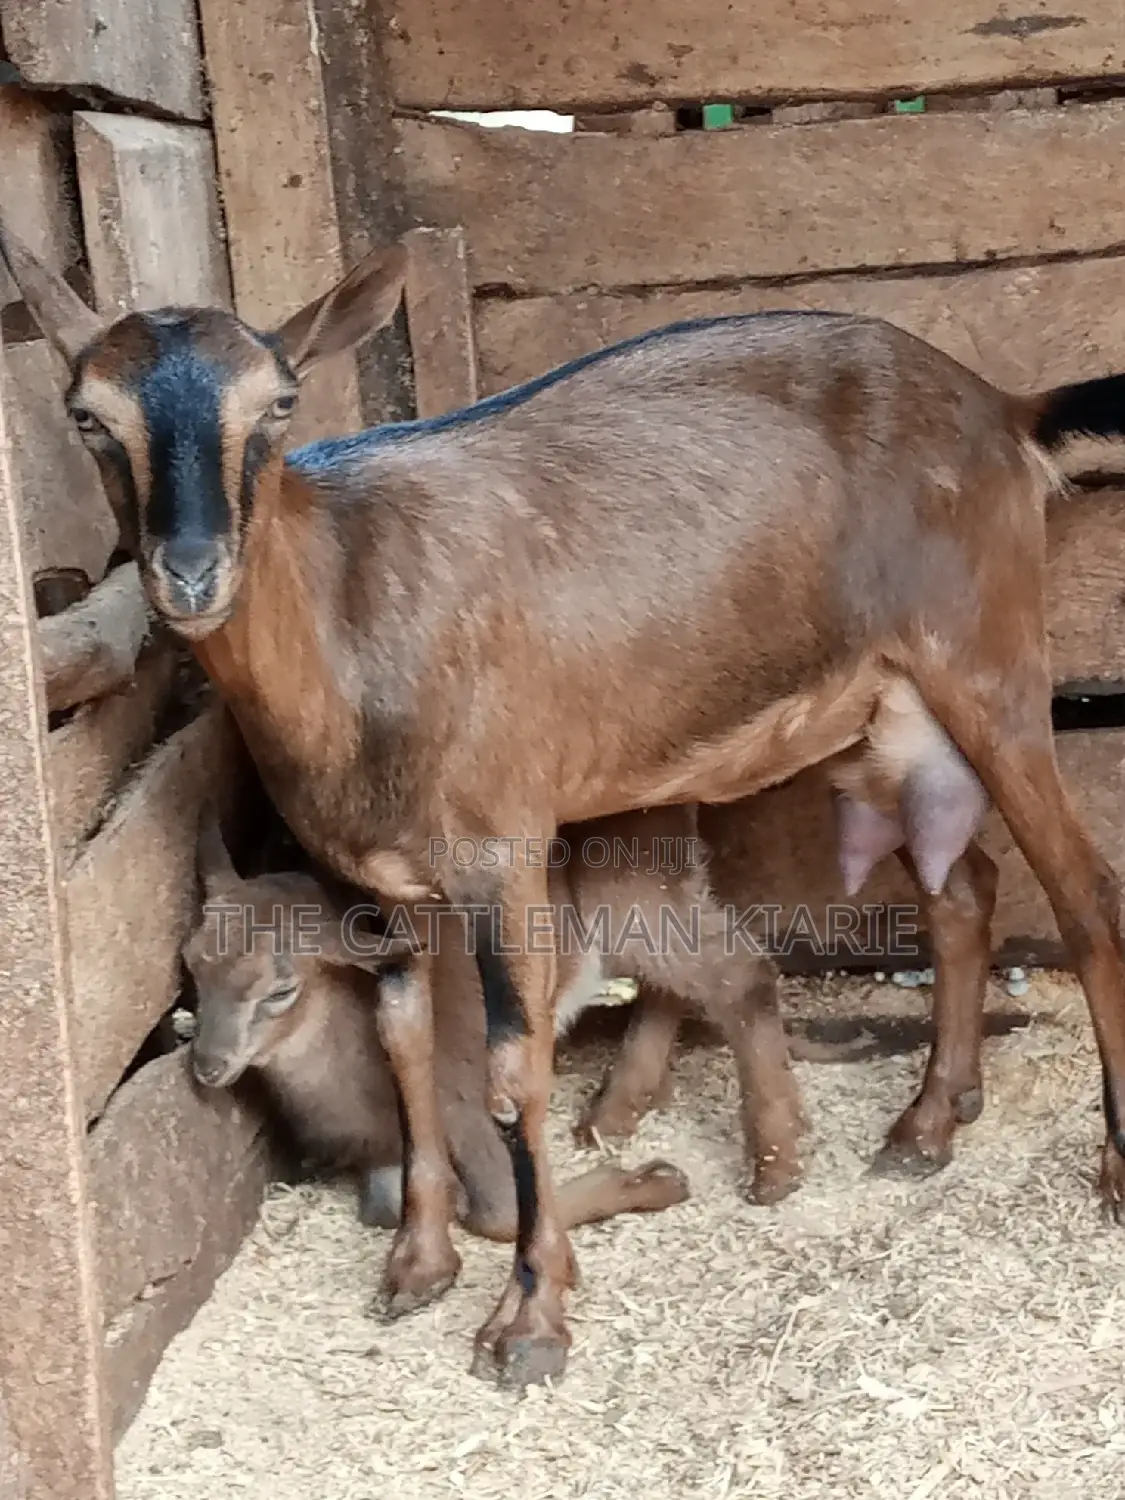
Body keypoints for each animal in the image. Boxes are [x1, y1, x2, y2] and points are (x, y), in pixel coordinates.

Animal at [7, 222, 1125, 1393]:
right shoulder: (380, 880)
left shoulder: (504, 850)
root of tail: (1001, 407)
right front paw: (418, 1264)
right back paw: (927, 1122)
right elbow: (405, 1043)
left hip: (988, 663)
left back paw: (1106, 1165)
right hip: (886, 719)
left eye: (277, 403)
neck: (347, 616)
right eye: (88, 414)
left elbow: (513, 1070)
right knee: (963, 890)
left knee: (1083, 891)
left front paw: (531, 1319)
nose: (189, 572)